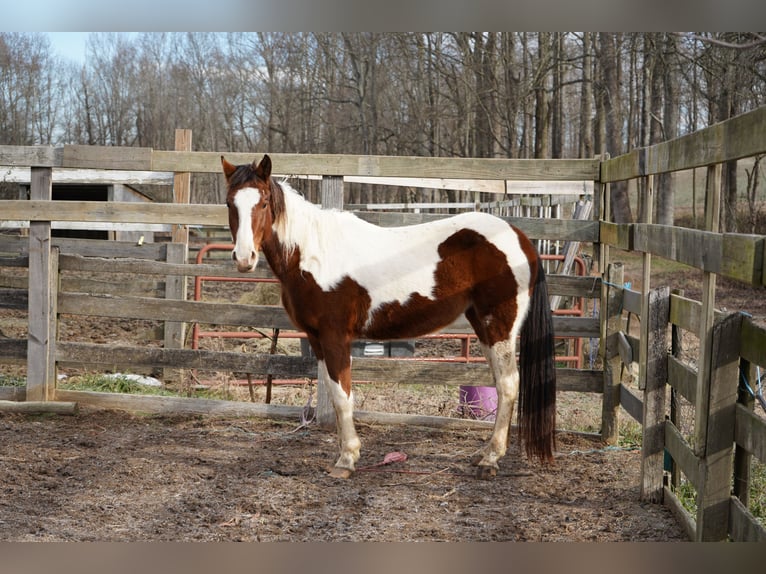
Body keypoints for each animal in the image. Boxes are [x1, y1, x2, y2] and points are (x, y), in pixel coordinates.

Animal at [222, 154, 560, 482]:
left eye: (264, 201)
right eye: (229, 202)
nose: (244, 258)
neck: (313, 255)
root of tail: (520, 238)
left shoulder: (335, 338)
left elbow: (343, 396)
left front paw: (346, 460)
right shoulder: (317, 340)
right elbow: (333, 391)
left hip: (500, 327)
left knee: (508, 384)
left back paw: (491, 460)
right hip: (483, 326)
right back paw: (482, 453)